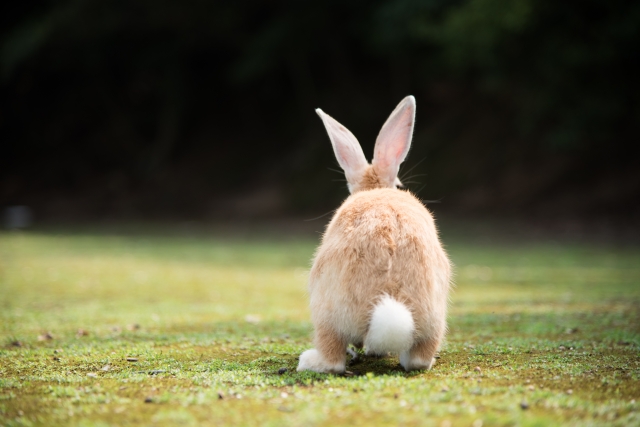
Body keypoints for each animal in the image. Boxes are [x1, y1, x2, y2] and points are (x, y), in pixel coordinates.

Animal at [296, 95, 450, 372]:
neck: (374, 187)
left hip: (325, 313)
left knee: (333, 360)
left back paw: (308, 360)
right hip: (434, 320)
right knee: (418, 360)